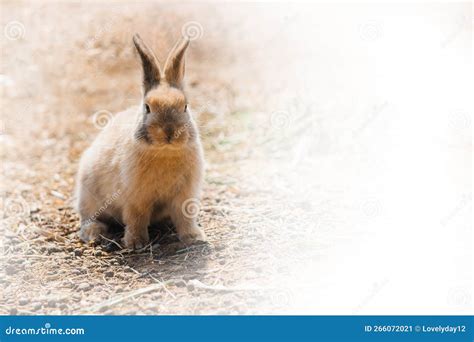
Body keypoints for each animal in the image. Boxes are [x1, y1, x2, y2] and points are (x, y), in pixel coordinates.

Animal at [75, 34, 206, 248]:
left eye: (185, 106)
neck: (164, 151)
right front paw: (136, 243)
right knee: (88, 218)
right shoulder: (135, 197)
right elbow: (137, 218)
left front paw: (194, 238)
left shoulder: (185, 195)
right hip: (88, 196)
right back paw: (95, 232)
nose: (170, 132)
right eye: (147, 107)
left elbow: (185, 217)